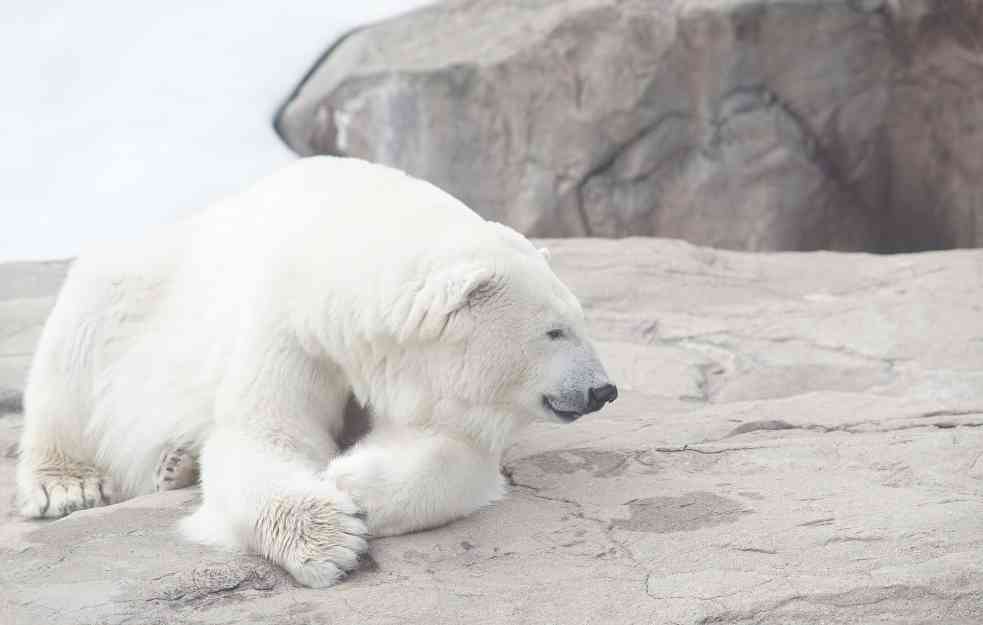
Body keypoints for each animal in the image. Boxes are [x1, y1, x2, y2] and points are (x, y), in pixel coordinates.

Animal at [15, 155, 620, 584]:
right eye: (555, 331)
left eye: (580, 320)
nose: (603, 390)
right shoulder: (290, 326)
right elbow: (264, 435)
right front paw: (331, 537)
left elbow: (453, 448)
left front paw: (354, 482)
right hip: (130, 291)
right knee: (74, 354)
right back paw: (68, 485)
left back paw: (175, 464)